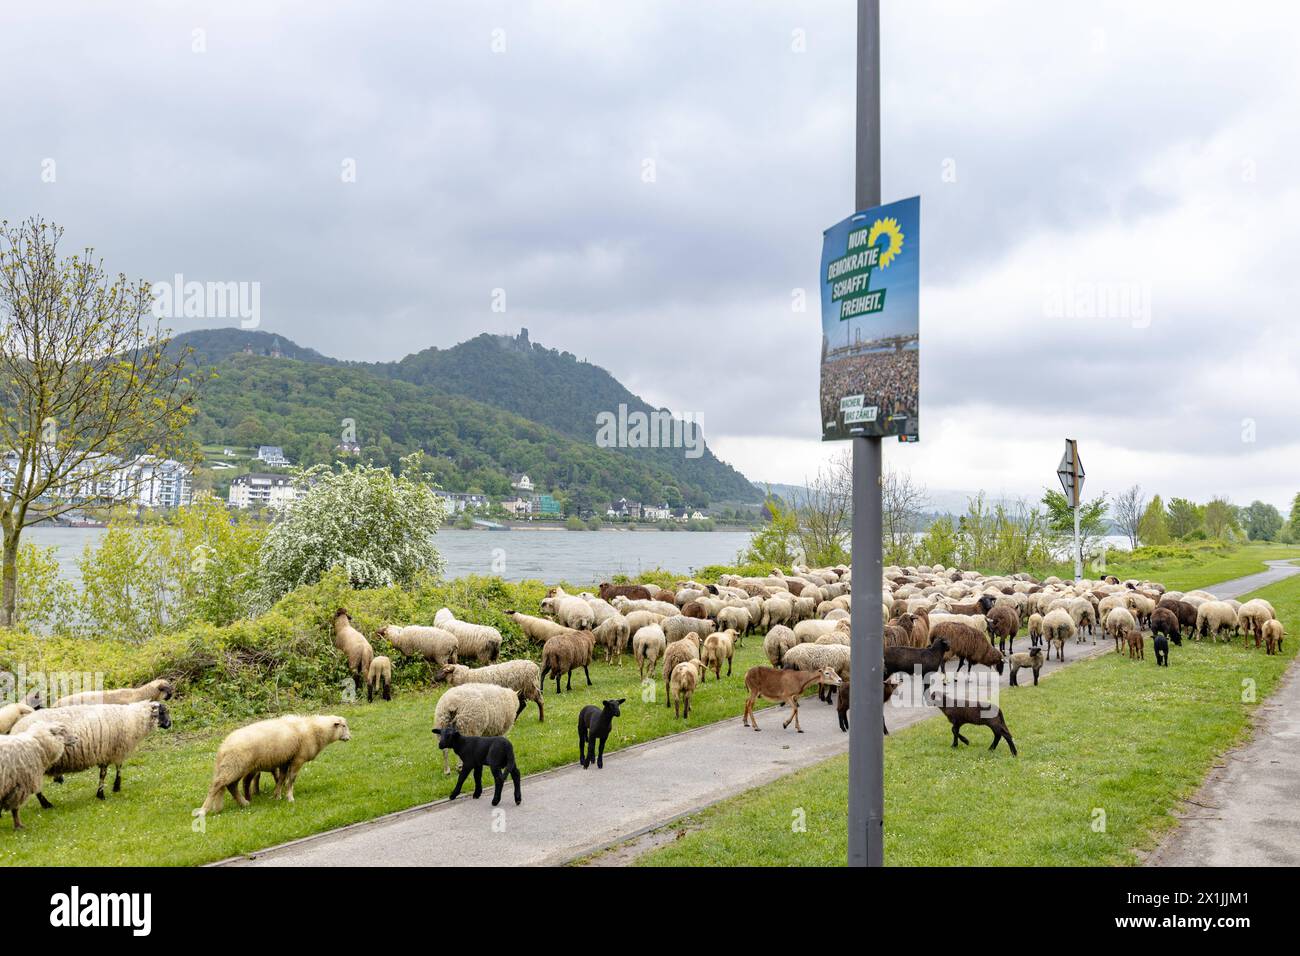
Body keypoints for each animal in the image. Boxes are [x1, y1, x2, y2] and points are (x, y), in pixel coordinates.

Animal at [14, 697, 172, 806]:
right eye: (163, 712)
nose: (170, 724)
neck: (132, 719)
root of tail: (16, 727)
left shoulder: (111, 751)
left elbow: (116, 768)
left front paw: (115, 787)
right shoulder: (111, 750)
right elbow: (106, 773)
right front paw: (104, 793)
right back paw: (46, 804)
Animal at [197, 712, 351, 811]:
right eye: (343, 726)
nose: (350, 737)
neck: (314, 730)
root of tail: (222, 746)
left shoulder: (285, 760)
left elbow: (281, 779)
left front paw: (276, 795)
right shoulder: (298, 759)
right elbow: (291, 779)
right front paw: (290, 798)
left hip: (235, 767)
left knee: (231, 786)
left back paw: (244, 803)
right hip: (234, 766)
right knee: (217, 785)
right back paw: (204, 810)